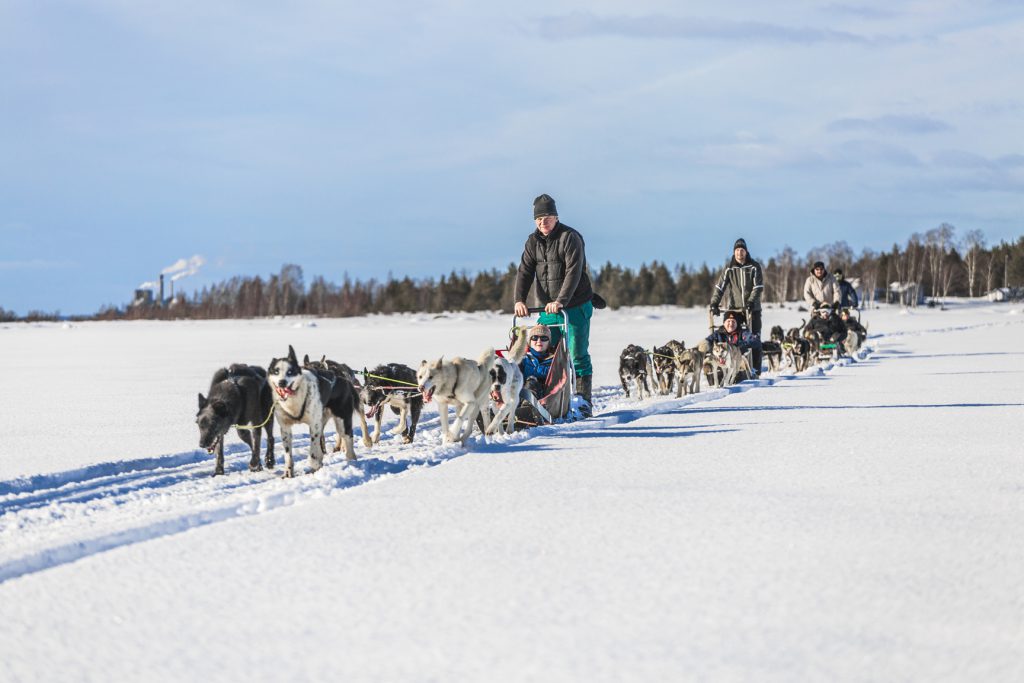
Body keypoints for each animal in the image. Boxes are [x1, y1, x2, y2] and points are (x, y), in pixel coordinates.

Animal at [266, 344, 329, 479]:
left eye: (290, 371)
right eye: (276, 371)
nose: (282, 382)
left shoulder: (314, 425)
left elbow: (313, 450)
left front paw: (314, 464)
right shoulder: (285, 428)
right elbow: (288, 455)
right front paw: (288, 472)